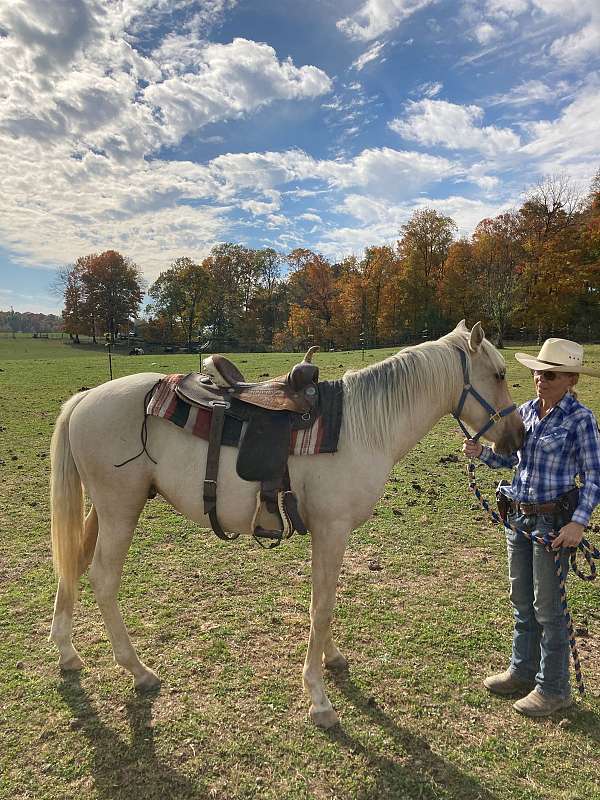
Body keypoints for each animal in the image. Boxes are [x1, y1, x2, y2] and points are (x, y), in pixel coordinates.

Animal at [49, 322, 524, 728]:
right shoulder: (332, 529)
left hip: (104, 509)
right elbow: (322, 605)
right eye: (499, 374)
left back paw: (67, 652)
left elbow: (323, 602)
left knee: (74, 563)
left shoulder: (328, 534)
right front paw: (319, 698)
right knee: (103, 578)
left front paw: (331, 658)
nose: (517, 439)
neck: (362, 427)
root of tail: (85, 399)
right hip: (119, 509)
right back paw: (138, 670)